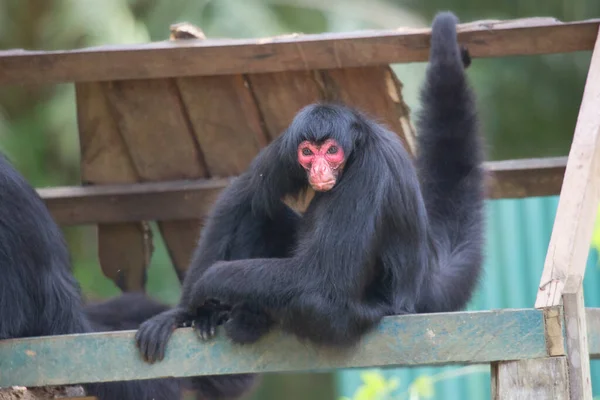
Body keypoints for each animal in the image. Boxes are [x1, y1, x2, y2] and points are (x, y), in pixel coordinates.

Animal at [136, 11, 482, 362]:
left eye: (331, 151)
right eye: (307, 152)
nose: (318, 168)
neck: (359, 145)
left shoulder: (370, 172)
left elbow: (322, 278)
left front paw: (210, 281)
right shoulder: (287, 144)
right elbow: (242, 198)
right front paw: (184, 312)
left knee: (311, 299)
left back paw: (247, 320)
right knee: (257, 212)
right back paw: (218, 315)